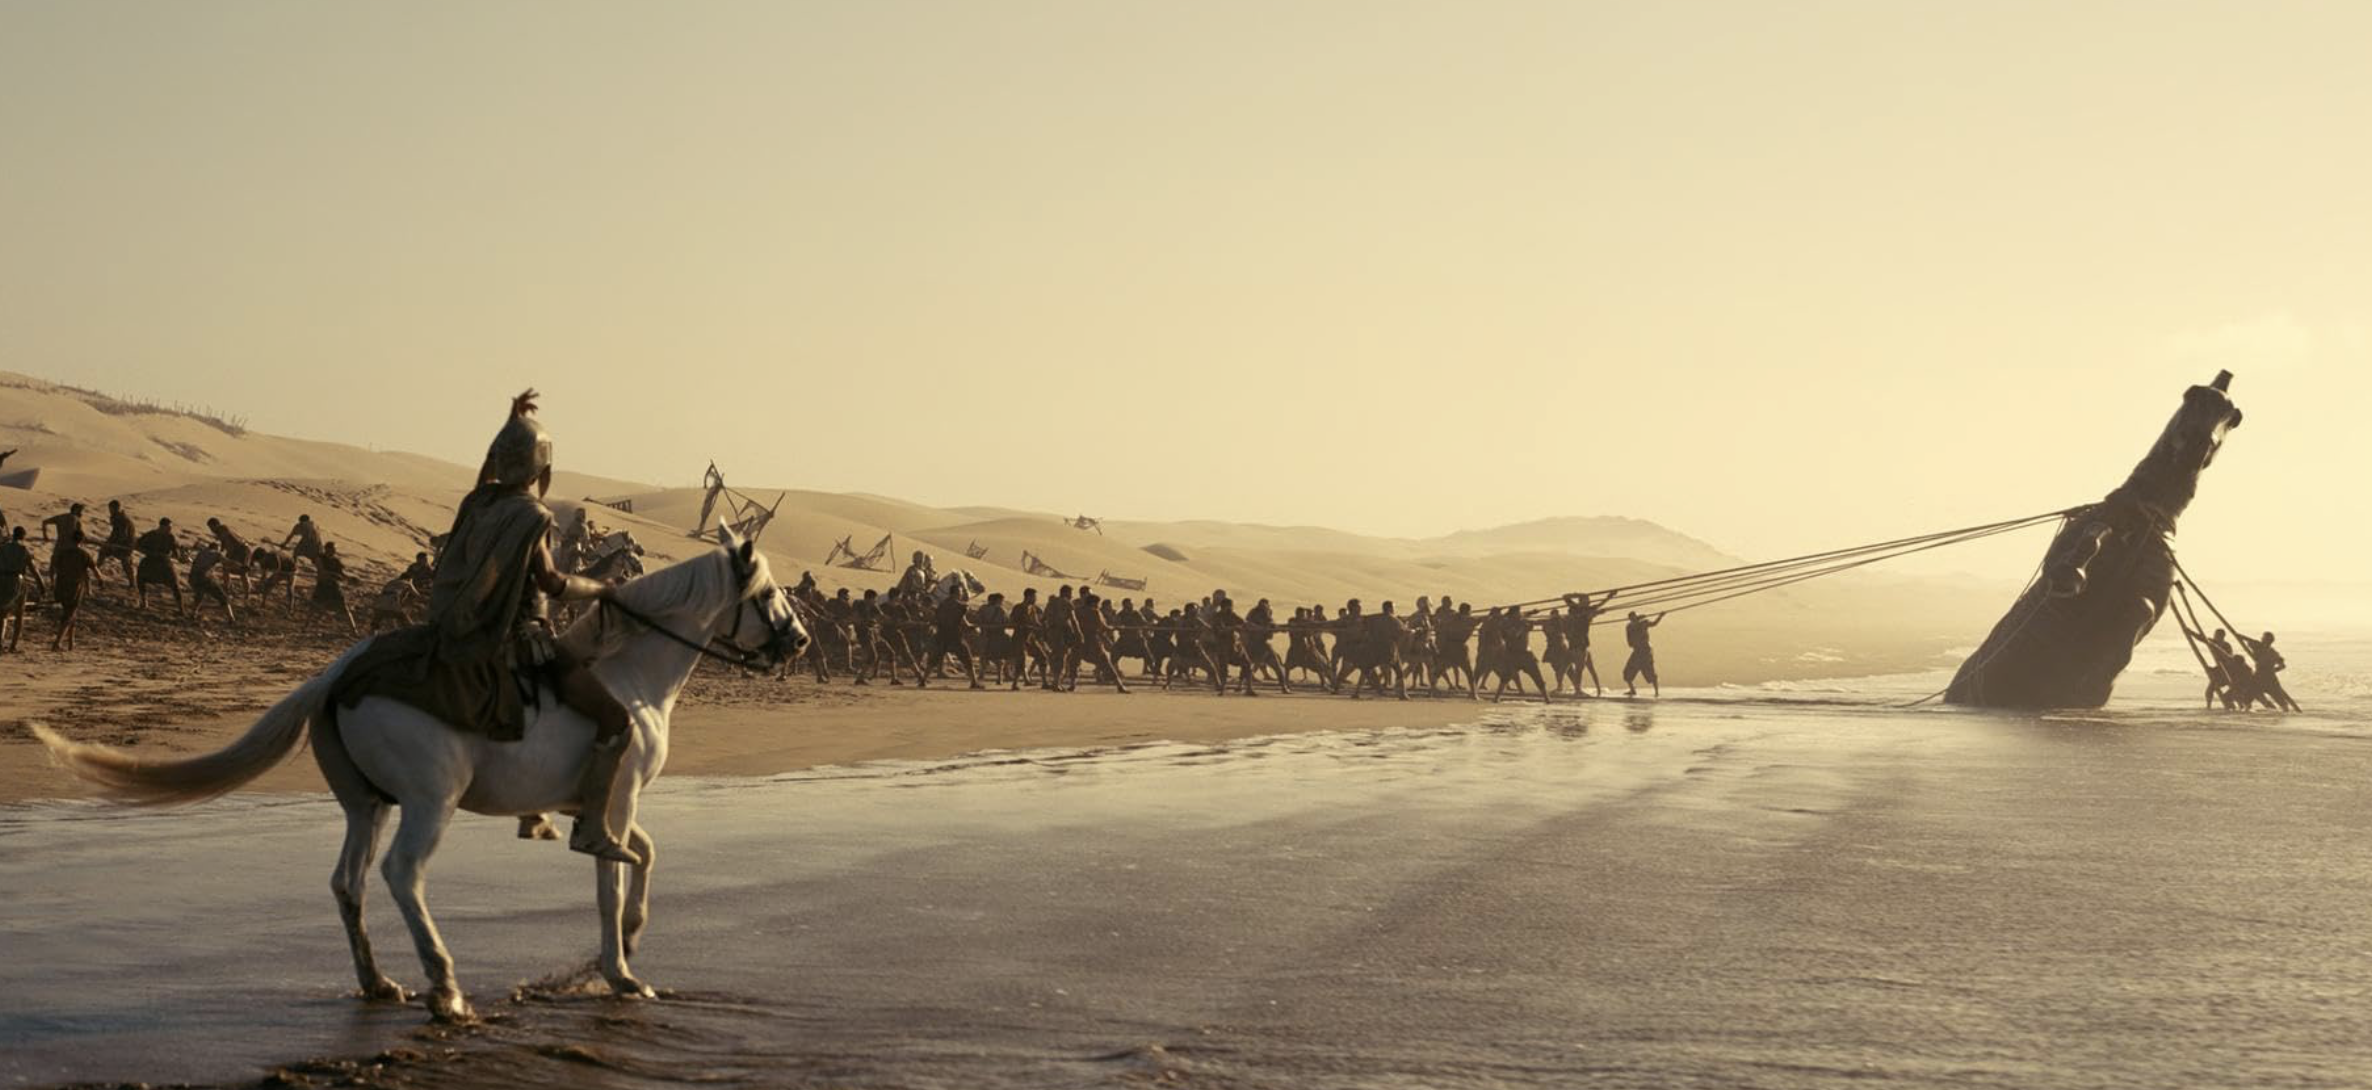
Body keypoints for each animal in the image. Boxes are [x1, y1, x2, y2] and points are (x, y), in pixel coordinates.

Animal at [31, 529, 808, 1024]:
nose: (798, 641)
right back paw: (445, 986)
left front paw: (634, 937)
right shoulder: (614, 799)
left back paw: (380, 983)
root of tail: (338, 674)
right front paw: (621, 972)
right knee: (403, 876)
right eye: (769, 592)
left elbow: (641, 858)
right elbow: (612, 877)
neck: (632, 675)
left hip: (365, 805)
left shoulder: (599, 805)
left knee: (348, 882)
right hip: (430, 803)